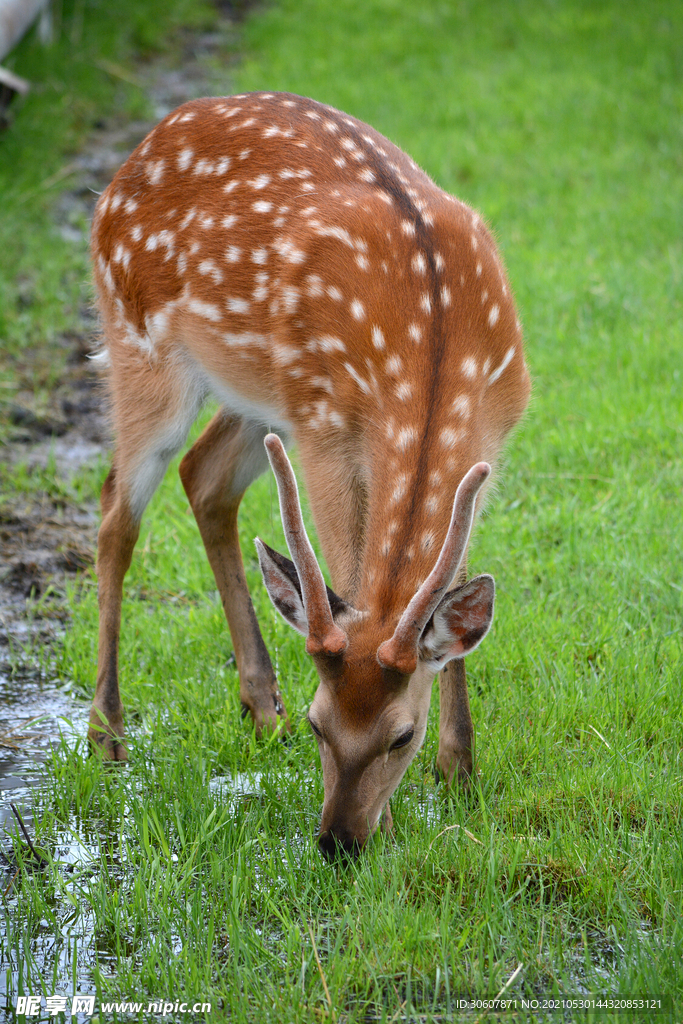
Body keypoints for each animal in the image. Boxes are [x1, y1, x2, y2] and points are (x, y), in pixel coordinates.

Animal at [88, 88, 532, 860]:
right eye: (322, 721)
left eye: (402, 737)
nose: (337, 841)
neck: (436, 350)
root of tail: (132, 159)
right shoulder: (325, 430)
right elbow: (348, 576)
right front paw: (405, 813)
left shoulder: (492, 441)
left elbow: (446, 590)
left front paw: (459, 771)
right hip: (138, 343)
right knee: (118, 510)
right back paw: (107, 734)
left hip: (257, 393)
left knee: (204, 478)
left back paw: (260, 708)